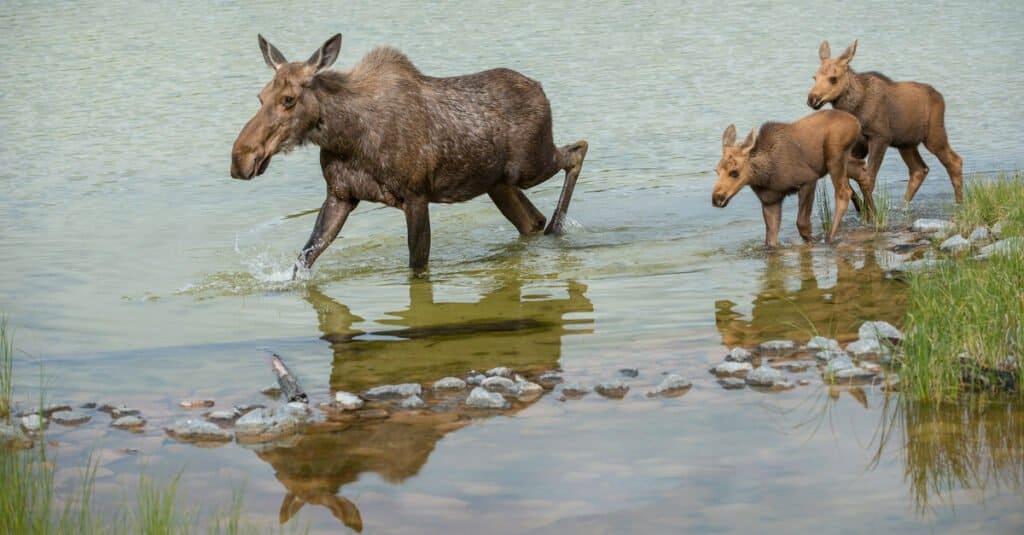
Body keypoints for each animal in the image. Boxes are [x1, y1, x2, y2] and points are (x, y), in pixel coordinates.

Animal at [229, 34, 589, 274]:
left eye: (288, 99)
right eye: (260, 96)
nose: (240, 159)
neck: (345, 138)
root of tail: (541, 89)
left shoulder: (416, 196)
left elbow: (417, 266)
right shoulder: (340, 195)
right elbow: (303, 258)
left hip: (529, 166)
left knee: (577, 151)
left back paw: (557, 228)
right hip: (497, 184)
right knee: (531, 219)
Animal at [712, 110, 872, 248]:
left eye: (734, 172)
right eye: (716, 171)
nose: (717, 198)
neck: (764, 176)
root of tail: (856, 122)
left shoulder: (808, 179)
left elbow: (802, 224)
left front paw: (812, 243)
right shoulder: (770, 201)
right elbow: (770, 240)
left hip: (834, 156)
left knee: (844, 193)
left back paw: (829, 238)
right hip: (841, 161)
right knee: (863, 173)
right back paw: (871, 216)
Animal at [802, 38, 962, 201]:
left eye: (833, 79)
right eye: (814, 77)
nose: (812, 99)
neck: (855, 109)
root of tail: (940, 97)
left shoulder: (880, 137)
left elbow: (869, 178)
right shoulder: (857, 145)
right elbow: (849, 177)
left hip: (934, 135)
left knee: (954, 161)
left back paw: (959, 202)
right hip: (906, 143)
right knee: (919, 169)